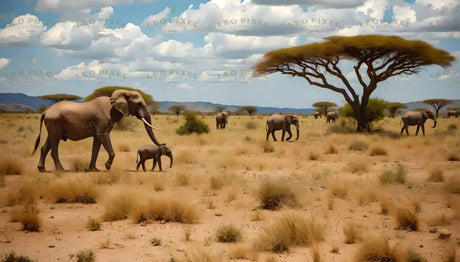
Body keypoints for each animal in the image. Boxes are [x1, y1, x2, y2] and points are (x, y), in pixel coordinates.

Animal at [32, 90, 163, 172]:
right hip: (55, 122)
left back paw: (42, 169)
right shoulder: (102, 121)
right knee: (54, 145)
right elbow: (102, 137)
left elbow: (97, 142)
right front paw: (107, 167)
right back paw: (61, 170)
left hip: (52, 125)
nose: (163, 144)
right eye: (139, 104)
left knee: (47, 145)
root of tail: (46, 111)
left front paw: (95, 169)